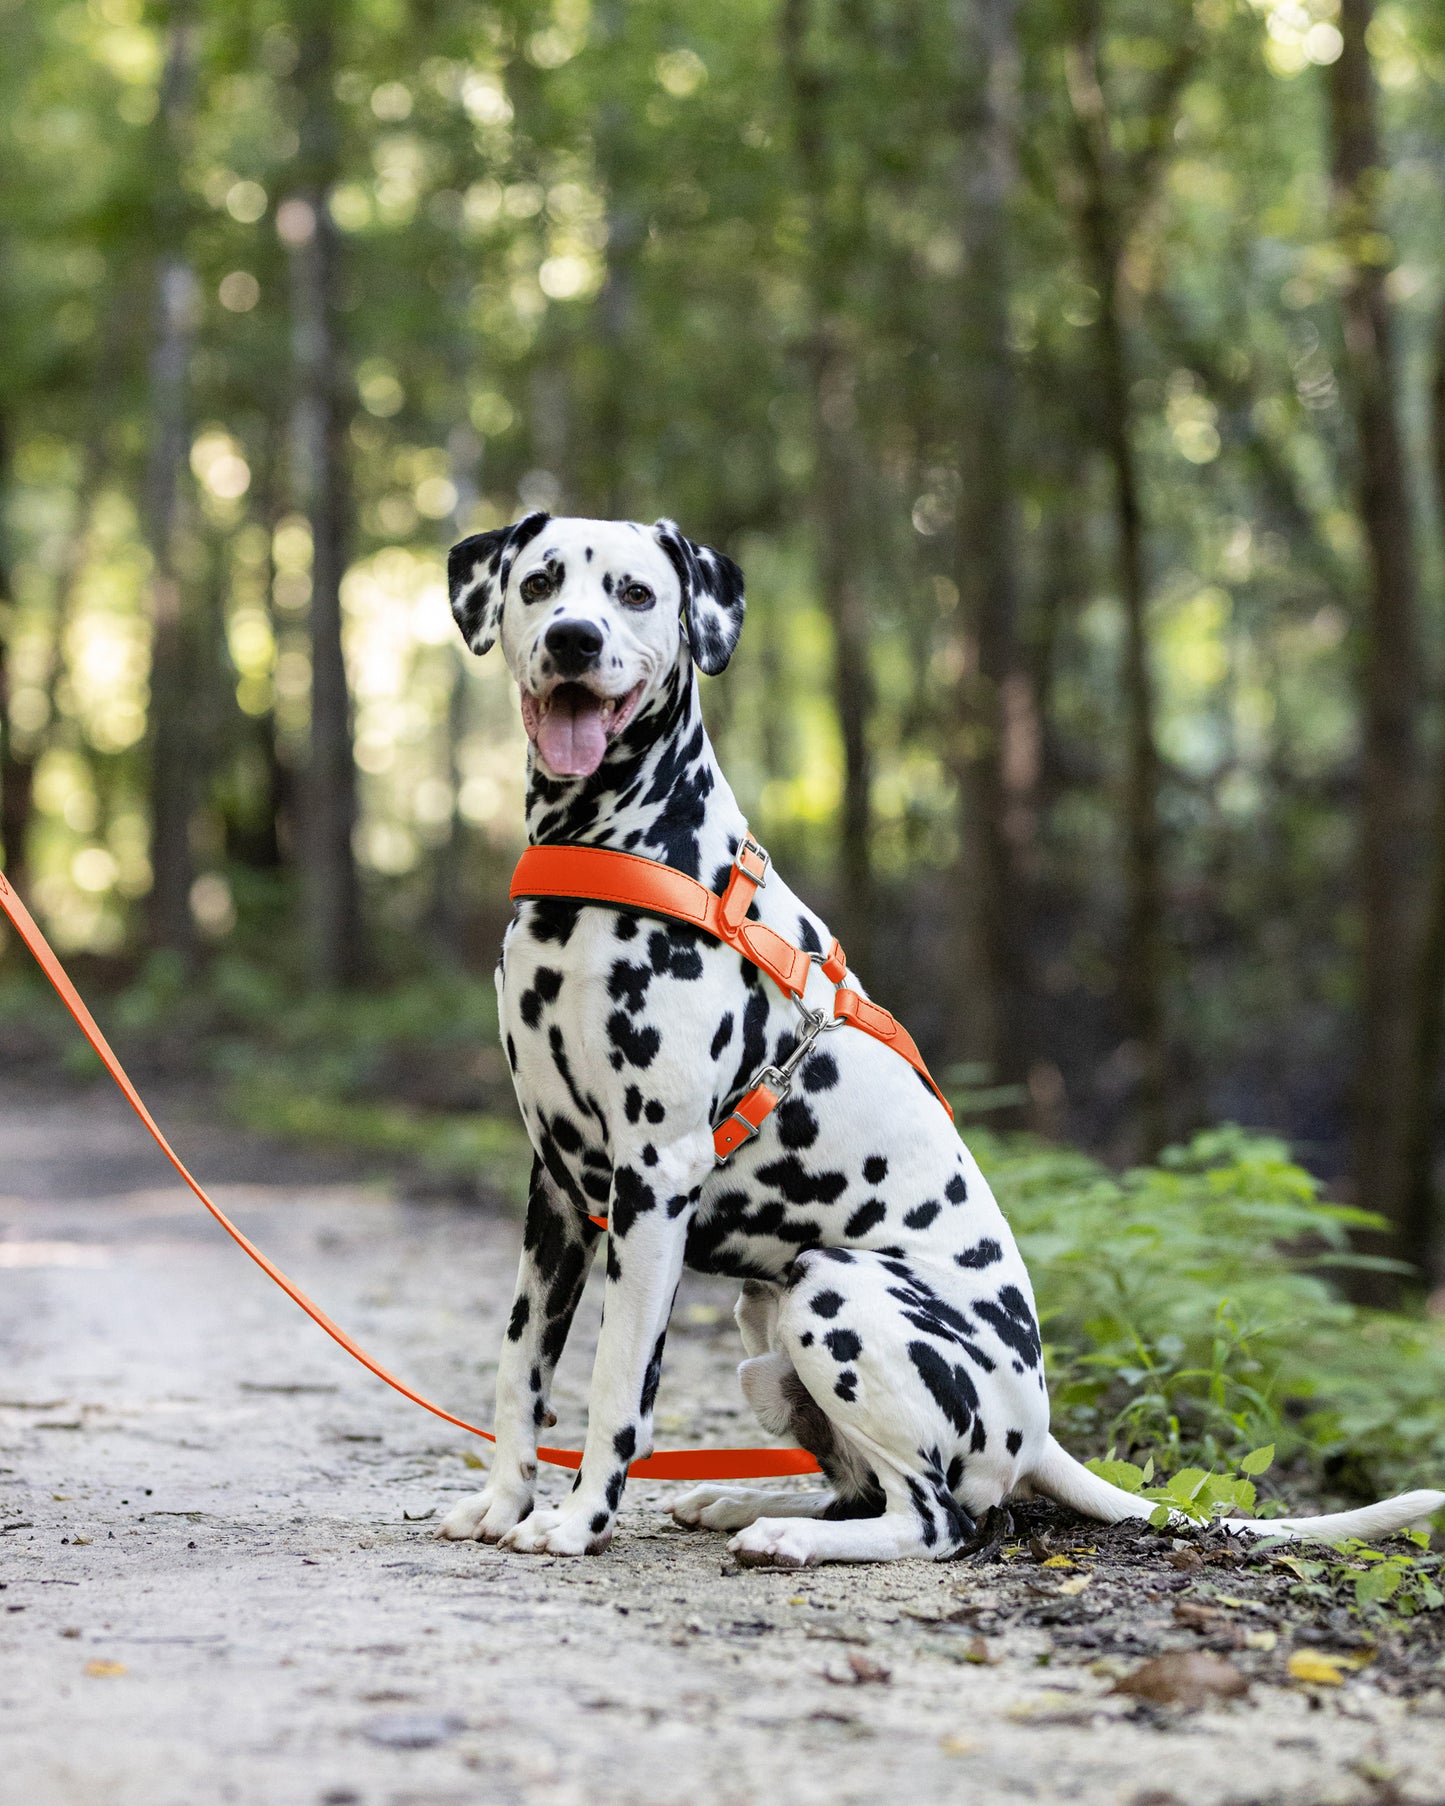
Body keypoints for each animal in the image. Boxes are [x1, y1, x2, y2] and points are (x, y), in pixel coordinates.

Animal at [435, 512, 1445, 1567]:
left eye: (634, 593)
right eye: (541, 582)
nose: (572, 641)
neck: (609, 853)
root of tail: (1039, 1431)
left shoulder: (652, 1180)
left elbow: (616, 1384)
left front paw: (577, 1520)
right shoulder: (557, 1187)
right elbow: (519, 1367)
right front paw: (502, 1503)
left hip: (832, 1291)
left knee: (935, 1521)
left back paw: (786, 1534)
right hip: (766, 1325)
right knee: (857, 1490)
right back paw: (746, 1505)